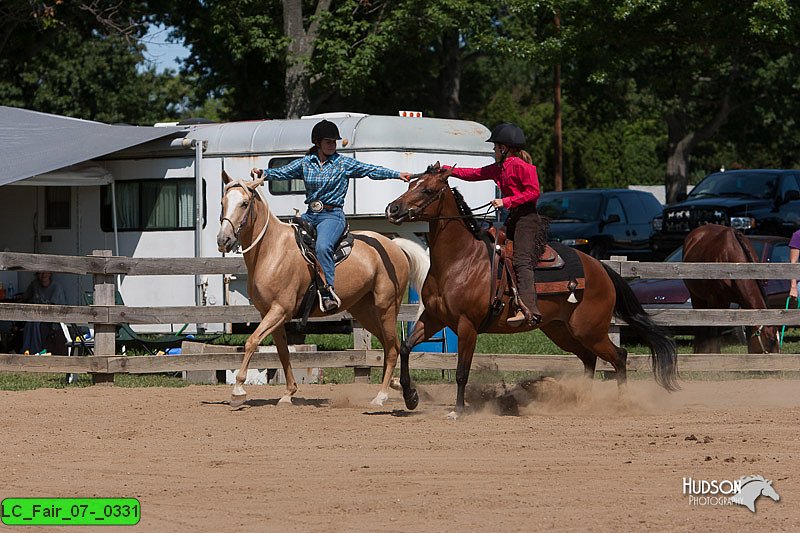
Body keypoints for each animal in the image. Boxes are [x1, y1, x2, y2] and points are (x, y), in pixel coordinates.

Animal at [217, 170, 432, 408]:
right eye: (223, 202)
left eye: (244, 203)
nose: (223, 239)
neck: (271, 250)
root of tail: (394, 246)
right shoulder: (270, 314)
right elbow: (283, 352)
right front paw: (289, 393)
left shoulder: (279, 310)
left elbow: (251, 342)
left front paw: (238, 390)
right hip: (365, 312)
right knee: (388, 345)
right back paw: (396, 385)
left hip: (386, 308)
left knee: (393, 348)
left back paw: (381, 396)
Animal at [384, 162, 680, 416]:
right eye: (411, 184)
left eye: (427, 190)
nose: (392, 209)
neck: (460, 260)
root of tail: (601, 268)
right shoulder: (434, 318)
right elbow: (406, 348)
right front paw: (410, 397)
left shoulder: (467, 325)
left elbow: (461, 371)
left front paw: (458, 410)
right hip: (561, 330)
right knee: (589, 359)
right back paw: (582, 401)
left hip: (590, 330)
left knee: (619, 356)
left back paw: (622, 404)